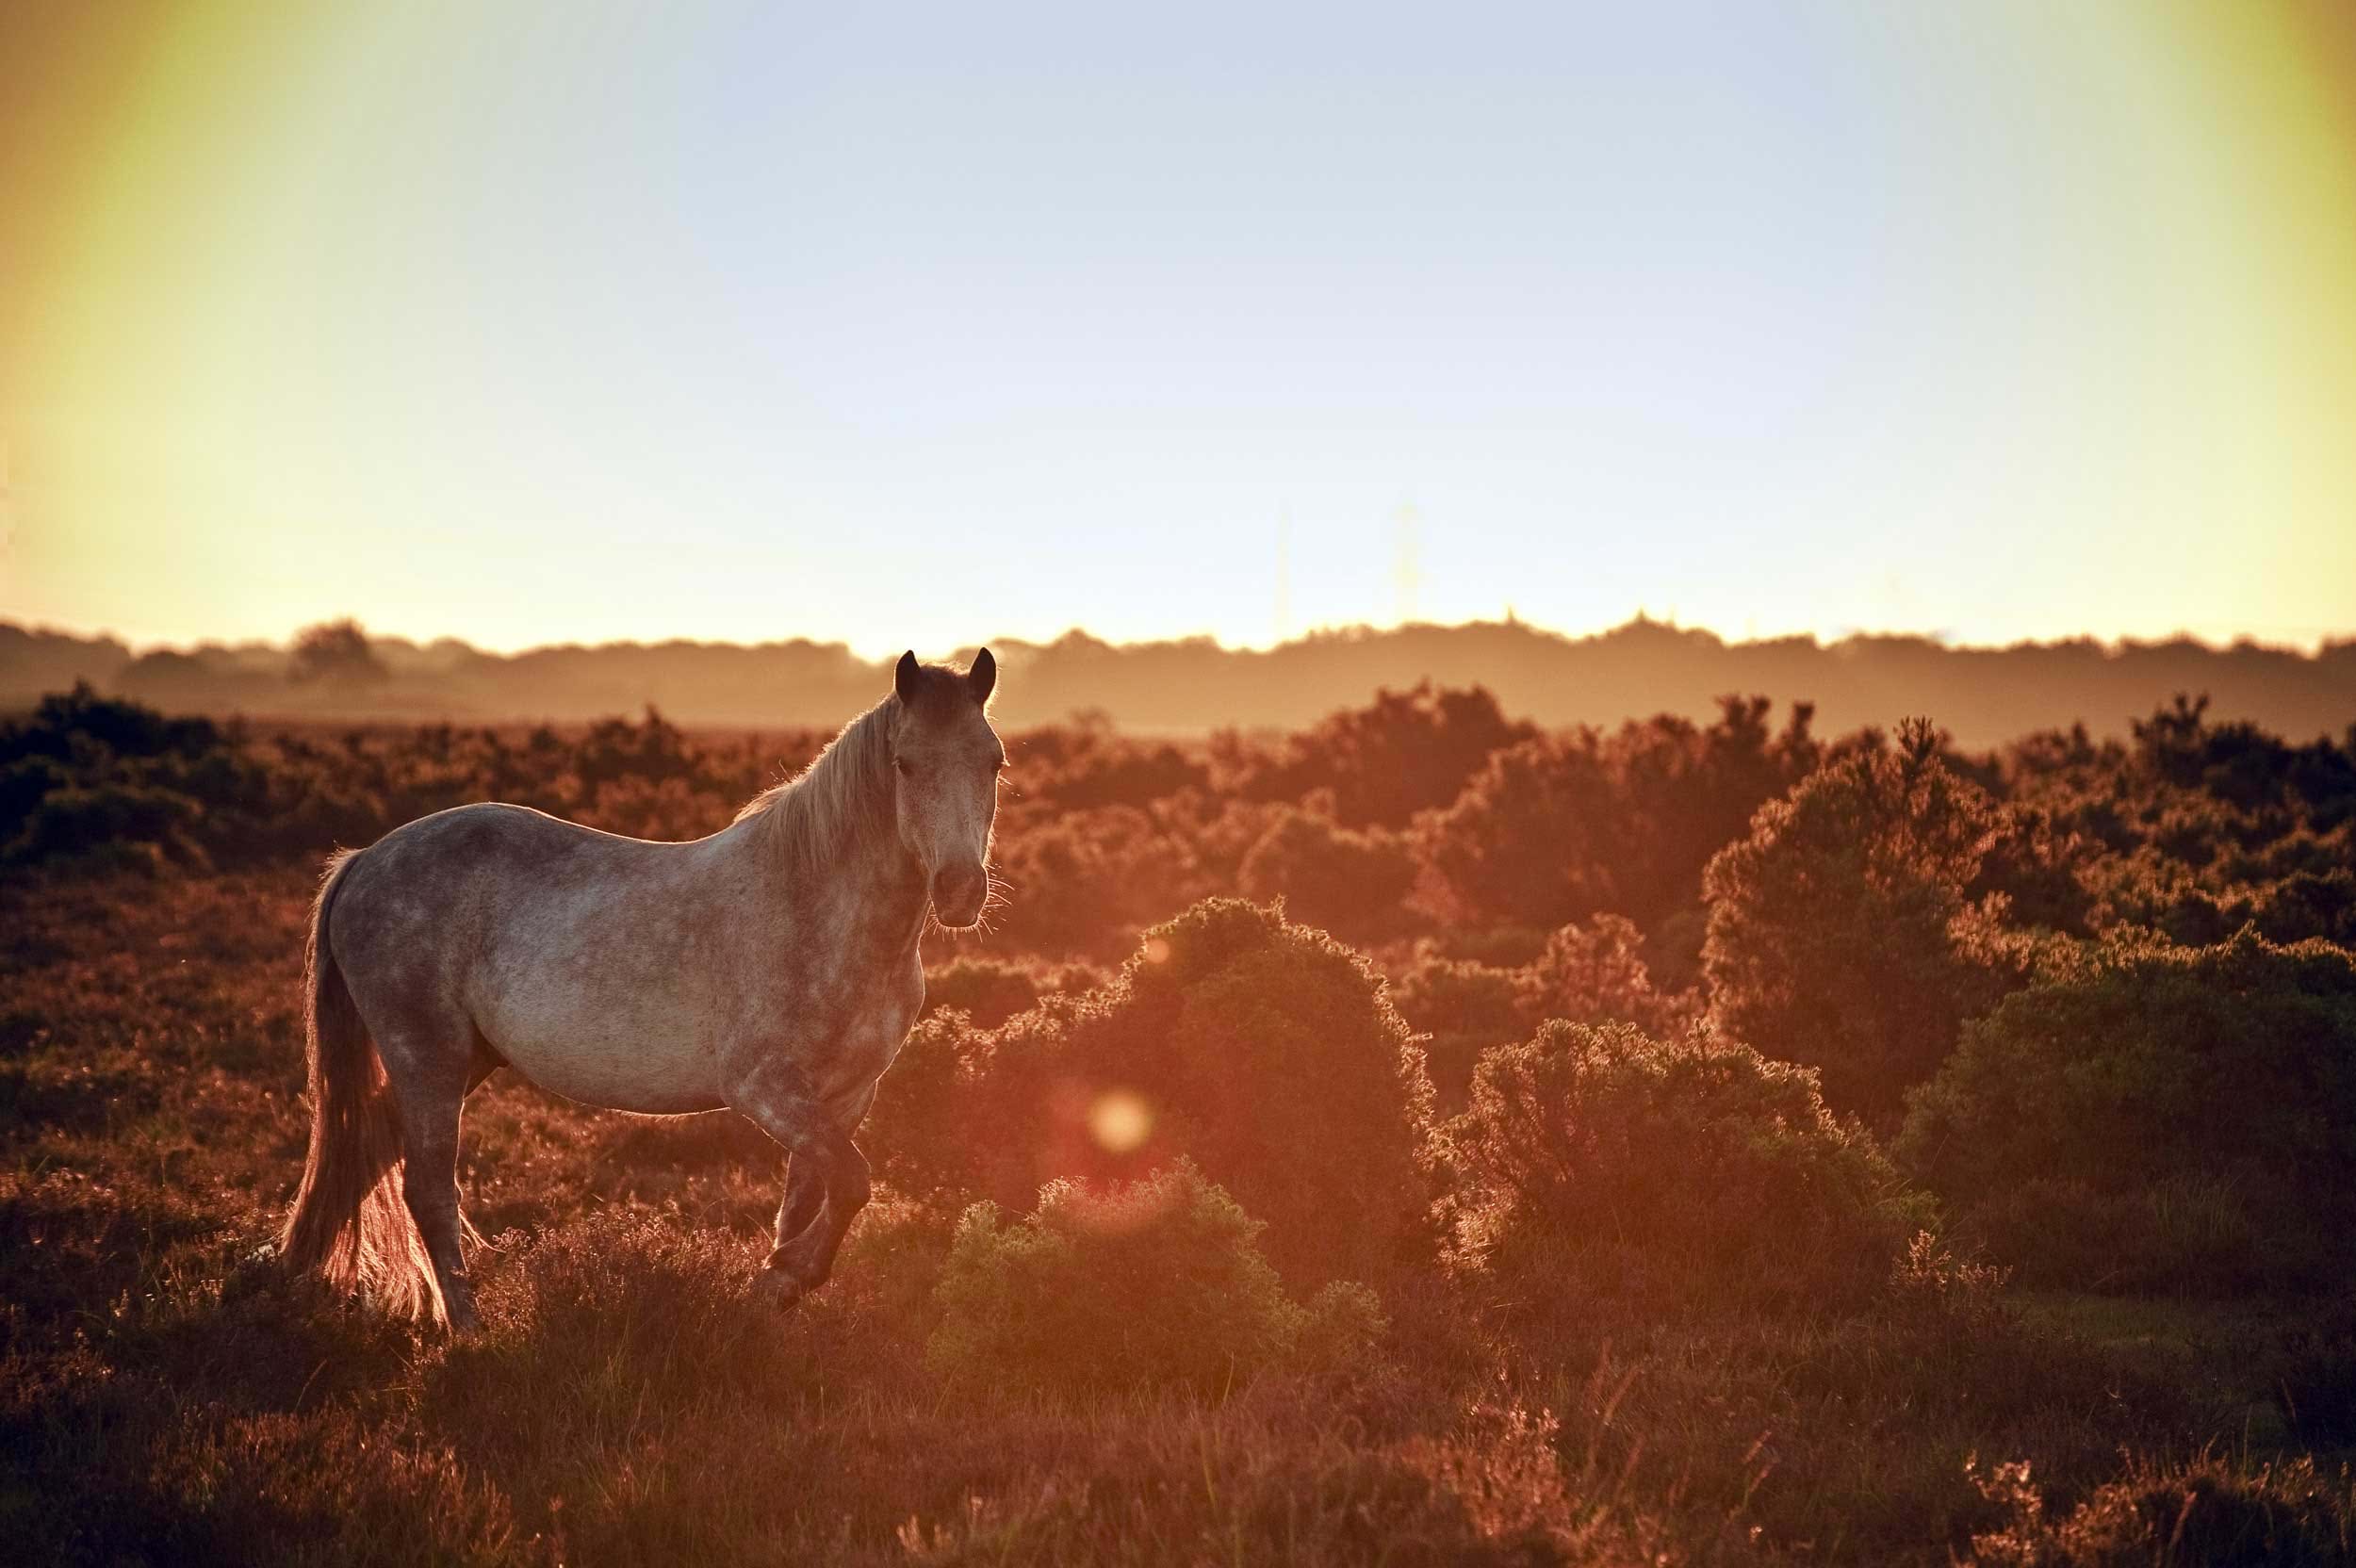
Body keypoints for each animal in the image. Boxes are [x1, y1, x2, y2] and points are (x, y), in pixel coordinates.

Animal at [276, 648, 1005, 1331]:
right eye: (905, 765)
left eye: (994, 763)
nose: (961, 891)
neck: (820, 906)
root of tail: (363, 860)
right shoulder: (764, 1089)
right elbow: (852, 1182)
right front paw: (788, 1276)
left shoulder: (845, 1097)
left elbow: (808, 1200)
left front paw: (776, 1288)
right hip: (428, 1060)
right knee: (427, 1190)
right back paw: (468, 1329)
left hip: (464, 1061)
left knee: (365, 1161)